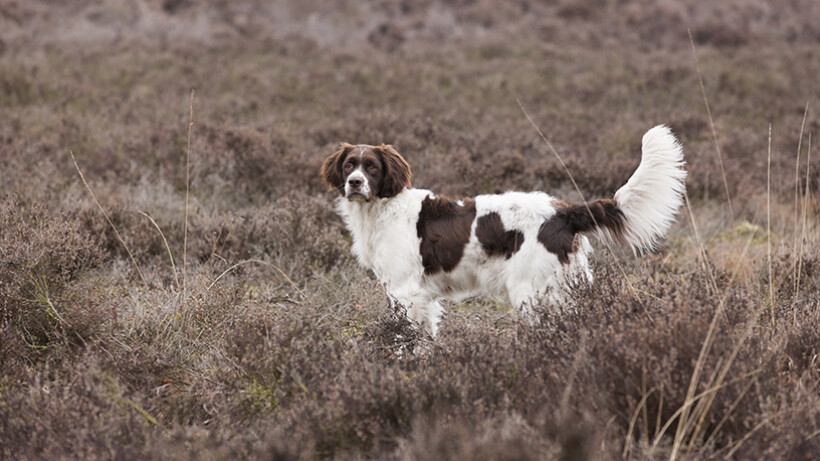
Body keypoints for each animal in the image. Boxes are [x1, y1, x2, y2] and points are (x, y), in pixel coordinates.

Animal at [320, 125, 684, 334]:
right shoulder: (418, 295)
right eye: (349, 164)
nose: (355, 183)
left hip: (532, 290)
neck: (382, 207)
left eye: (372, 167)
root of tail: (564, 211)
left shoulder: (405, 291)